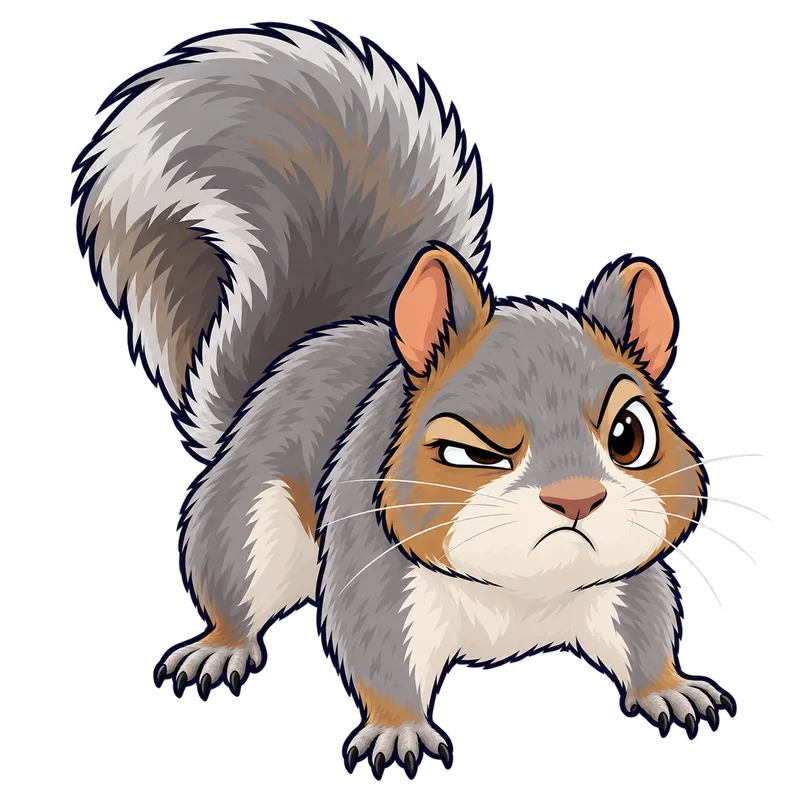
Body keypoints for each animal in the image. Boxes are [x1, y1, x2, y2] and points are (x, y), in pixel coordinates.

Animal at [74, 21, 737, 778]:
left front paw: (671, 690)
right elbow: (378, 652)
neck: (523, 589)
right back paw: (218, 648)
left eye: (631, 435)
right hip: (244, 525)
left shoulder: (626, 579)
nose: (576, 499)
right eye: (467, 452)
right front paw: (398, 734)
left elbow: (647, 632)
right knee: (231, 589)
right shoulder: (374, 572)